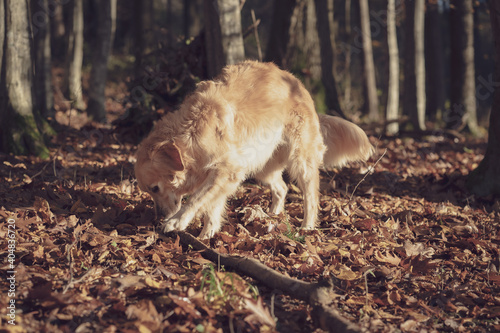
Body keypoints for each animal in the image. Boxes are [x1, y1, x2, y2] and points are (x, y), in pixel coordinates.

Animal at [135, 59, 374, 237]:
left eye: (155, 188)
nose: (157, 217)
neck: (194, 133)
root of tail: (297, 82)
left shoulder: (228, 170)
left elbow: (197, 198)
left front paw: (177, 221)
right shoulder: (224, 175)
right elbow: (211, 206)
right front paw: (207, 236)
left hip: (300, 161)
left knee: (311, 196)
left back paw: (307, 226)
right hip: (261, 163)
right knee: (282, 188)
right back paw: (272, 216)